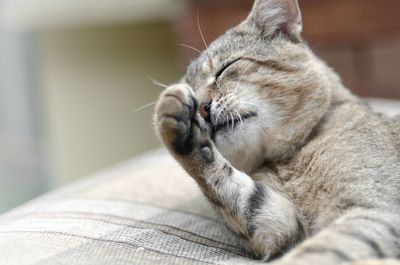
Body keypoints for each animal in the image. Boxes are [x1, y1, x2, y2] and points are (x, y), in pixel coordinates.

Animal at [154, 0, 400, 264]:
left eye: (225, 68)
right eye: (192, 90)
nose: (200, 107)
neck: (288, 159)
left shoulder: (375, 210)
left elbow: (317, 251)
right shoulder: (279, 221)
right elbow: (229, 184)